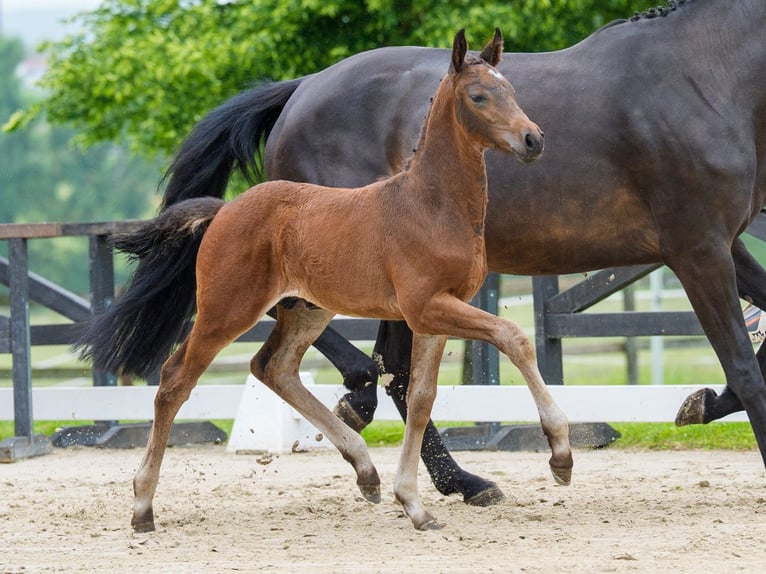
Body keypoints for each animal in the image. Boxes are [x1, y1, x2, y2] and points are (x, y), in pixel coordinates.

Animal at [76, 30, 570, 532]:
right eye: (478, 96)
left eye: (511, 89)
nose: (533, 139)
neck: (430, 204)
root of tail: (224, 210)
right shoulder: (427, 306)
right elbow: (513, 337)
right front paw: (559, 455)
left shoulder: (435, 314)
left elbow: (421, 397)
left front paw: (413, 504)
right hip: (225, 311)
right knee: (176, 380)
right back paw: (142, 506)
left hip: (307, 309)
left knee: (273, 368)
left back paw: (366, 471)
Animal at [155, 0, 766, 505]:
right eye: (477, 96)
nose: (533, 140)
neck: (706, 75)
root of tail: (301, 89)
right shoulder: (697, 249)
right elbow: (745, 363)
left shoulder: (727, 244)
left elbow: (752, 356)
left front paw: (701, 403)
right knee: (343, 355)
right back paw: (373, 409)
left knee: (382, 368)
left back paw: (450, 478)